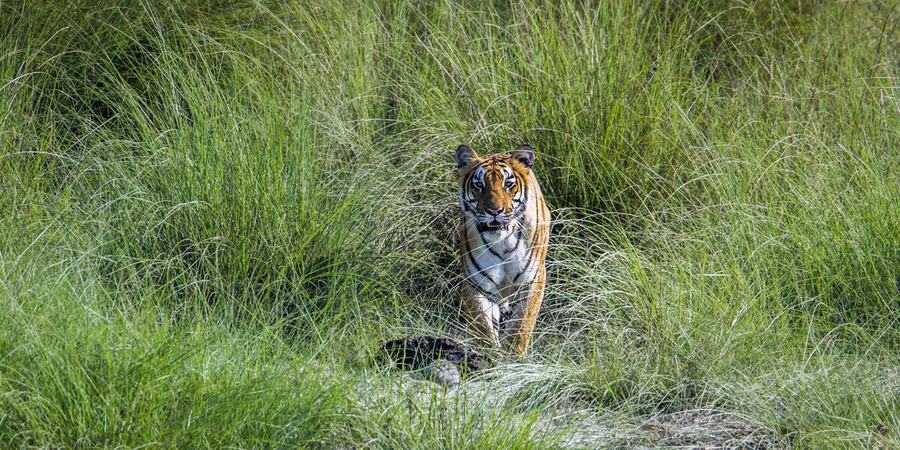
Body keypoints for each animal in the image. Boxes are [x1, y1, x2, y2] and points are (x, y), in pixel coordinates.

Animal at [455, 144, 551, 356]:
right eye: (479, 185)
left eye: (508, 184)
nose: (494, 211)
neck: (503, 241)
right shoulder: (477, 284)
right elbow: (483, 327)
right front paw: (489, 356)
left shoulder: (532, 280)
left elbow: (521, 325)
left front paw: (515, 357)